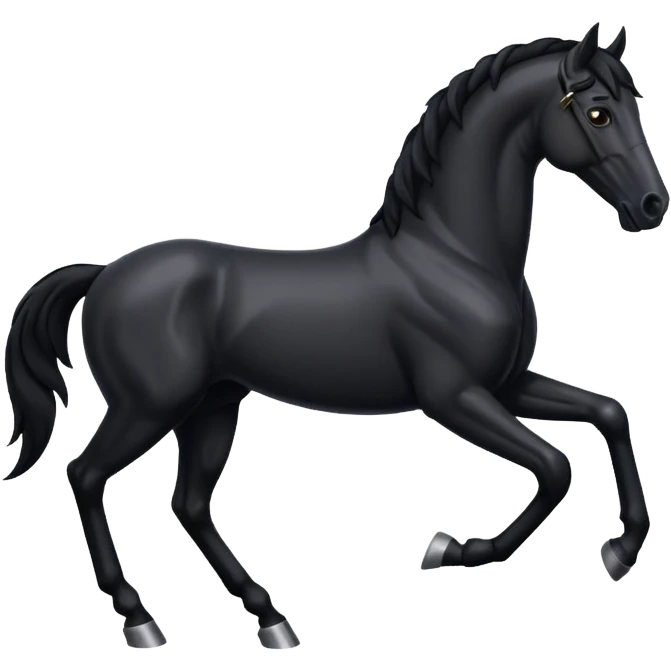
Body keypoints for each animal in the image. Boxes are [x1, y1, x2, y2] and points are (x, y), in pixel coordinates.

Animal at [4, 23, 667, 651]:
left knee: (188, 504)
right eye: (599, 111)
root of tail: (104, 274)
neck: (454, 254)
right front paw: (449, 550)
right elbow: (555, 467)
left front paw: (620, 550)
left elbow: (608, 413)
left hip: (212, 407)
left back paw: (271, 620)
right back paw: (141, 621)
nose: (651, 206)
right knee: (86, 476)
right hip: (148, 407)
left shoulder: (506, 386)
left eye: (636, 107)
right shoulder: (455, 399)